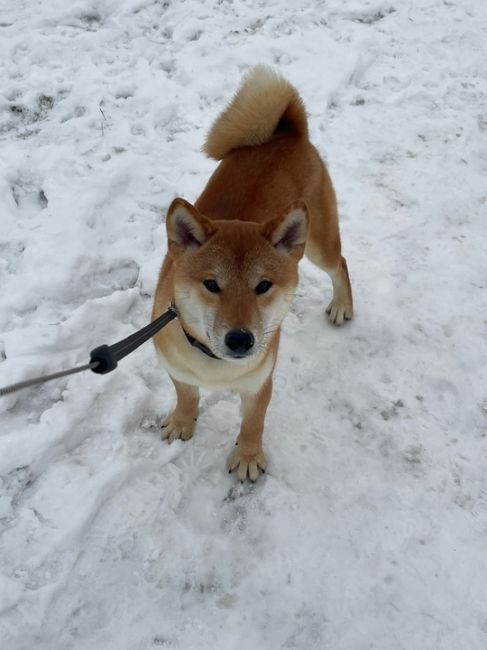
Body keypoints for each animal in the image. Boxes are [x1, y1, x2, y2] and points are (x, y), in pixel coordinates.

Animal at [152, 66, 354, 478]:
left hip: (319, 242)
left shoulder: (260, 382)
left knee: (340, 264)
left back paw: (342, 305)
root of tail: (288, 133)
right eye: (211, 284)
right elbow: (185, 394)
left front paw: (247, 457)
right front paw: (182, 421)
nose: (241, 340)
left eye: (263, 285)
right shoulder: (176, 367)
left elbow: (252, 422)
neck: (215, 365)